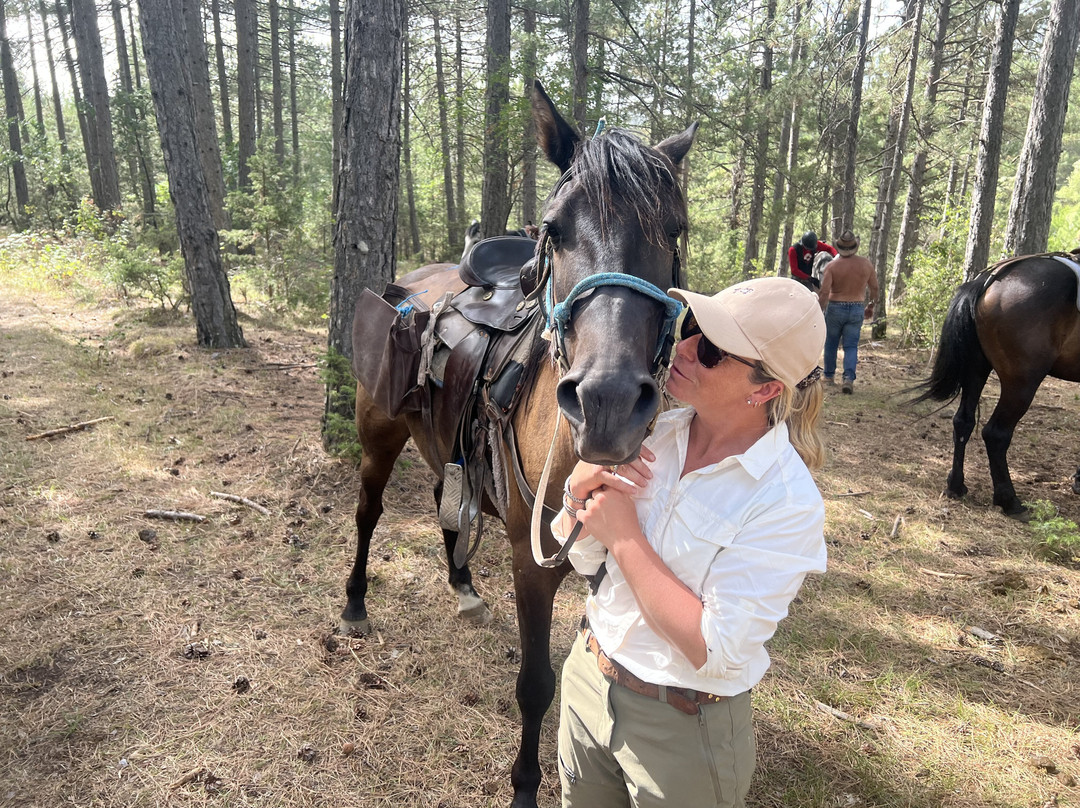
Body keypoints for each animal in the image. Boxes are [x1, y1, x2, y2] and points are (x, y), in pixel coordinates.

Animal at [340, 79, 696, 808]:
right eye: (553, 230)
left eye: (674, 231)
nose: (608, 402)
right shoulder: (532, 571)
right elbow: (536, 686)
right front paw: (527, 787)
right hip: (379, 437)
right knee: (367, 513)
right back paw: (356, 602)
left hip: (443, 444)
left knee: (449, 505)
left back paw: (462, 585)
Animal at [912, 253, 1080, 518]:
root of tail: (986, 280)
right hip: (1021, 383)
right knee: (996, 434)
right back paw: (1009, 500)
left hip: (976, 369)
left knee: (963, 421)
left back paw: (955, 486)